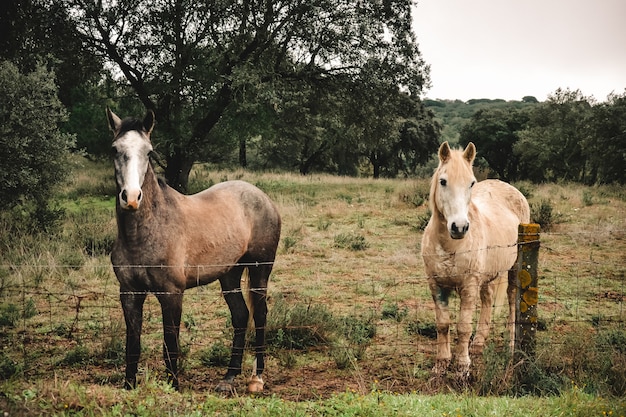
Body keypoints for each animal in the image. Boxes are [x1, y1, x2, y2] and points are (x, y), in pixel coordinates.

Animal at [107, 108, 280, 394]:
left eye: (149, 152)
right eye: (114, 149)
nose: (131, 198)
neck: (144, 235)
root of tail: (263, 198)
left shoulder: (171, 294)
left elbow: (171, 344)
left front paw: (174, 387)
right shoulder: (129, 293)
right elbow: (132, 345)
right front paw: (129, 386)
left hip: (259, 271)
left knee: (260, 314)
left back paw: (257, 379)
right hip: (229, 275)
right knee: (241, 315)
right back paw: (229, 377)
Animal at [420, 141, 528, 376]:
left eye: (471, 183)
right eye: (443, 181)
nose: (459, 227)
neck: (450, 246)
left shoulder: (468, 286)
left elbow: (463, 326)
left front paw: (462, 366)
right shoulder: (436, 285)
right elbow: (443, 324)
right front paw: (441, 363)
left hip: (514, 269)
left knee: (511, 300)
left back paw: (511, 346)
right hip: (487, 276)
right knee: (487, 299)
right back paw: (478, 344)